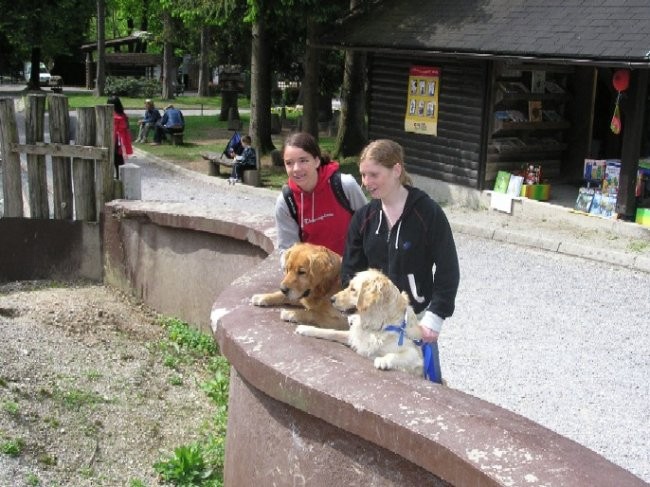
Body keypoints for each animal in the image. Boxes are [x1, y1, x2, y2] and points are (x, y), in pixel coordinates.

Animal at [294, 266, 426, 378]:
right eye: (349, 286)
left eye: (353, 289)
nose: (331, 299)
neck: (378, 323)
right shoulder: (354, 336)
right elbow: (331, 332)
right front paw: (306, 329)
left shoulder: (417, 358)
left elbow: (394, 355)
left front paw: (382, 360)